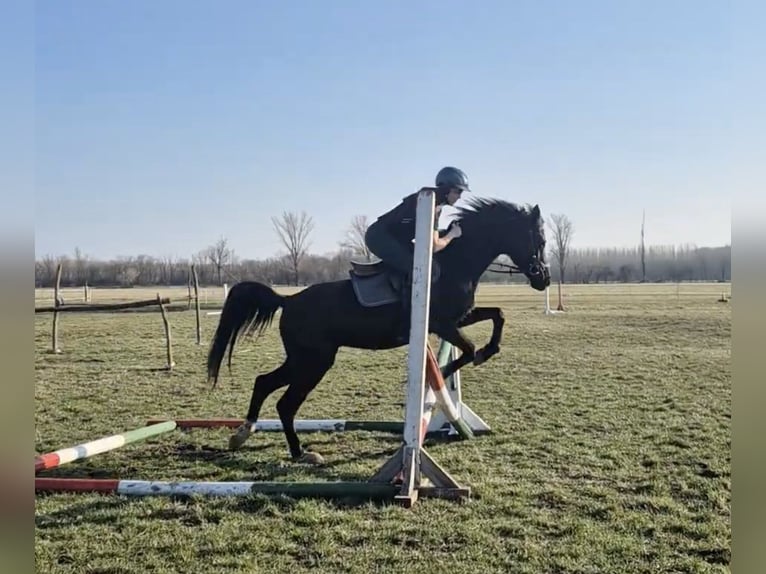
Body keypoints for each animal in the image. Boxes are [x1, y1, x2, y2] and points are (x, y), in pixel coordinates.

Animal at [206, 197, 551, 463]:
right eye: (540, 240)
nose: (543, 279)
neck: (457, 263)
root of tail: (287, 300)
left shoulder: (459, 319)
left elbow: (498, 316)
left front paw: (486, 352)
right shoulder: (443, 324)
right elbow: (467, 350)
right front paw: (442, 374)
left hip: (304, 360)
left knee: (264, 383)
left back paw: (245, 434)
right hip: (313, 362)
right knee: (285, 402)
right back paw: (299, 452)